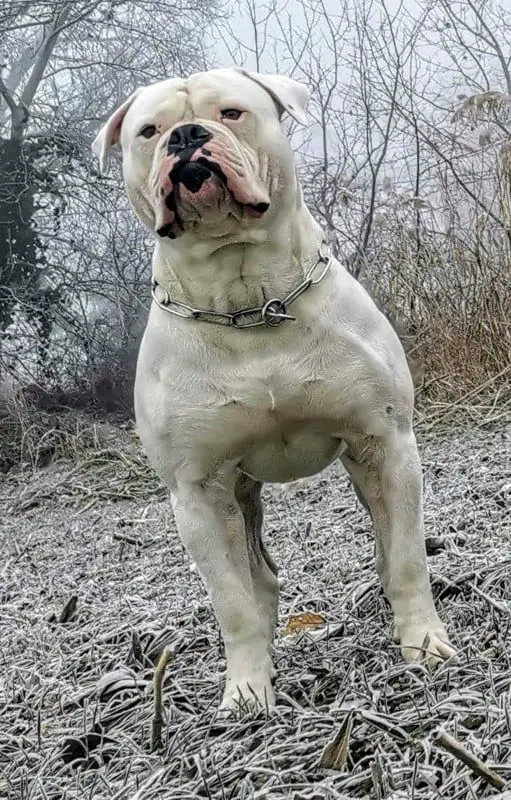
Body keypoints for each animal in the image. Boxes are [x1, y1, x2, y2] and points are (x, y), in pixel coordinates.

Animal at [93, 67, 456, 712]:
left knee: (387, 540)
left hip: (364, 469)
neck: (247, 299)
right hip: (237, 498)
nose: (187, 135)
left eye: (232, 113)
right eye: (149, 131)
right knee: (255, 576)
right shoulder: (196, 493)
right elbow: (232, 601)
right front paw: (246, 690)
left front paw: (423, 641)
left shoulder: (386, 442)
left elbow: (410, 556)